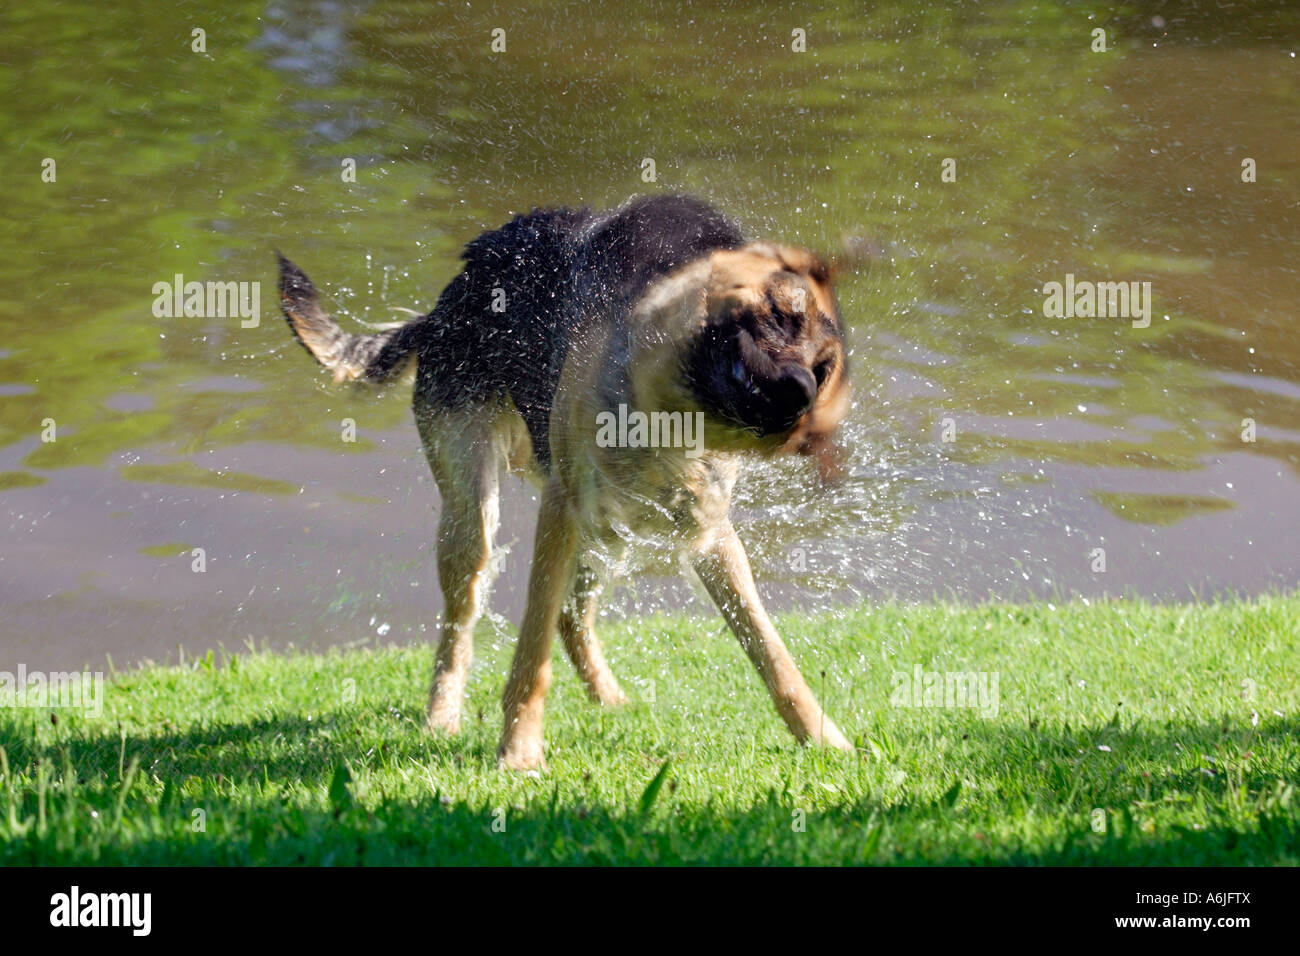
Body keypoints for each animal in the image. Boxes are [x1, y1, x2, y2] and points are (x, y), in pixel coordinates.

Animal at [276, 195, 852, 770]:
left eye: (824, 370)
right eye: (778, 318)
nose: (799, 399)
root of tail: (443, 306)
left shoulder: (708, 533)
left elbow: (770, 650)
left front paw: (824, 738)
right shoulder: (562, 508)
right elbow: (532, 652)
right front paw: (519, 752)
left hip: (606, 533)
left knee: (572, 618)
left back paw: (610, 698)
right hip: (474, 519)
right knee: (463, 627)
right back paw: (442, 717)